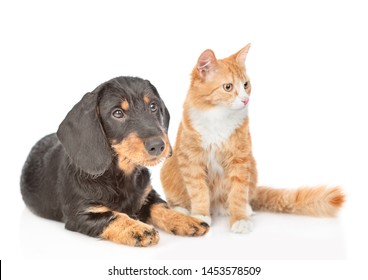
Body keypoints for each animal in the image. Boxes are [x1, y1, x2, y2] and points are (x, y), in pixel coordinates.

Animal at [20, 75, 210, 246]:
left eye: (153, 106)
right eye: (117, 113)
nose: (158, 145)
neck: (121, 174)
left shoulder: (148, 196)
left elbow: (162, 208)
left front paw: (185, 219)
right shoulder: (81, 213)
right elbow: (113, 216)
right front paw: (137, 228)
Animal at [161, 43, 344, 232]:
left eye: (246, 85)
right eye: (228, 87)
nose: (245, 100)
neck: (218, 116)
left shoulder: (241, 159)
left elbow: (238, 193)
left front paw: (239, 218)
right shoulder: (191, 160)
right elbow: (198, 191)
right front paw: (200, 215)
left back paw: (243, 209)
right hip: (168, 167)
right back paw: (181, 210)